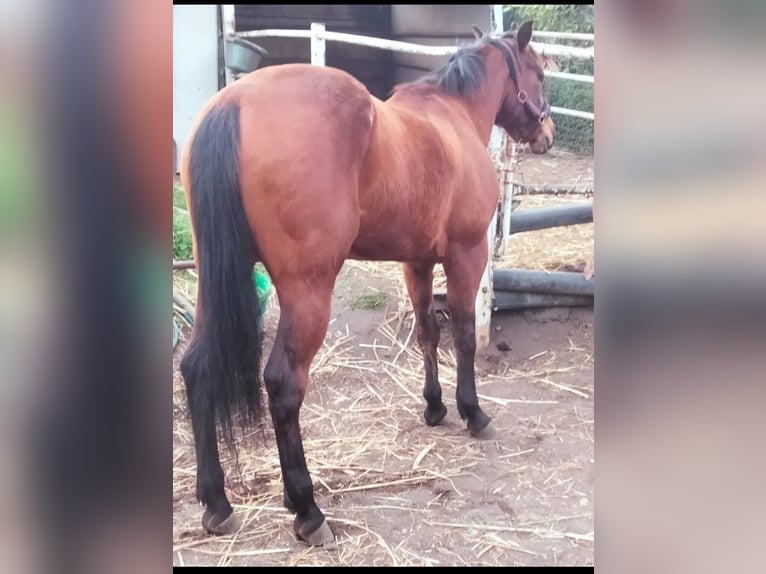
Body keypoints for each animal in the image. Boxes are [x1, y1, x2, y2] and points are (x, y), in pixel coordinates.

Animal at [179, 21, 552, 546]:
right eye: (539, 72)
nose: (547, 133)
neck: (452, 116)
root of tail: (233, 102)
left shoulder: (416, 263)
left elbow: (427, 333)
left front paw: (435, 408)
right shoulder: (466, 255)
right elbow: (462, 336)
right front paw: (473, 412)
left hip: (212, 283)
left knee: (196, 367)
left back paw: (216, 502)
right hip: (308, 292)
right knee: (284, 385)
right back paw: (307, 509)